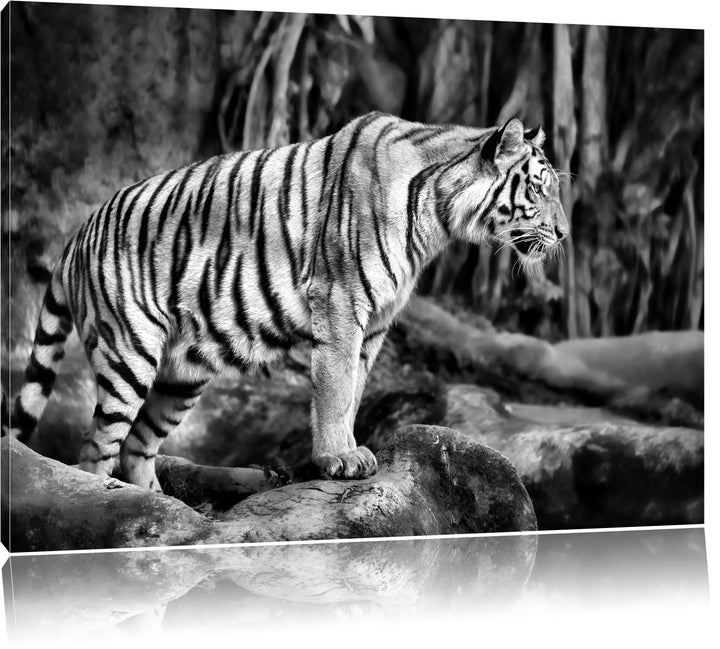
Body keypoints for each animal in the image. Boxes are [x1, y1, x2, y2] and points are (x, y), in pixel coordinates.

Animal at [4, 111, 567, 490]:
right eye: (539, 190)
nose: (564, 233)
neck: (437, 213)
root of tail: (78, 233)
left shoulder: (375, 323)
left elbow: (353, 390)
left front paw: (346, 452)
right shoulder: (341, 301)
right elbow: (335, 388)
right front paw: (340, 460)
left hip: (182, 375)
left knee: (138, 447)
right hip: (129, 353)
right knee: (95, 449)